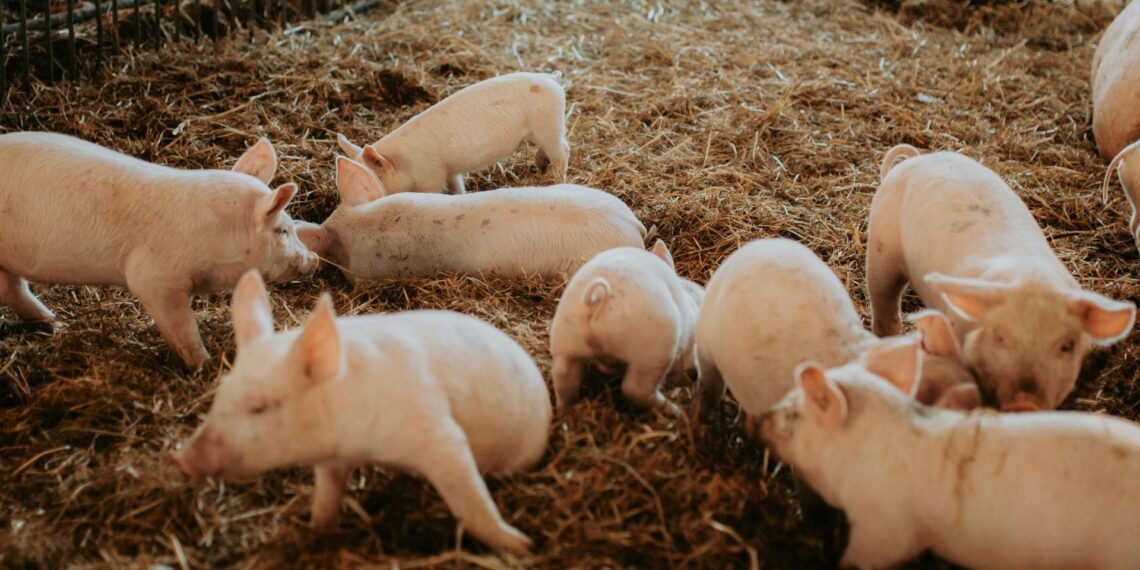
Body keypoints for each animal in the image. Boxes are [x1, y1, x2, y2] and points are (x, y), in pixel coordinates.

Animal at [0, 132, 318, 368]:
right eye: (283, 231)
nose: (313, 259)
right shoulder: (154, 279)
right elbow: (183, 327)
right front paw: (205, 366)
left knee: (13, 291)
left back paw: (58, 324)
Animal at [174, 270, 551, 556]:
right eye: (220, 395)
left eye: (260, 407)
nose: (185, 459)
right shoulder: (332, 459)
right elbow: (326, 498)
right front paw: (315, 532)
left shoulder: (438, 433)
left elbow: (470, 501)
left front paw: (524, 547)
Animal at [336, 71, 570, 195]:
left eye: (373, 179)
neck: (404, 164)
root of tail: (552, 78)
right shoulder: (449, 171)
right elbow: (457, 186)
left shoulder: (431, 177)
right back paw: (541, 166)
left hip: (548, 124)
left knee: (563, 150)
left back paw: (554, 177)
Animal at [548, 240, 704, 416]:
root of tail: (598, 300)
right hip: (652, 349)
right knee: (635, 389)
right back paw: (676, 410)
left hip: (566, 337)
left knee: (563, 378)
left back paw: (566, 410)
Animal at [868, 144, 1135, 411]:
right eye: (1000, 337)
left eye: (1067, 346)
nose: (1025, 404)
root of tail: (920, 158)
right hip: (881, 249)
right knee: (884, 304)